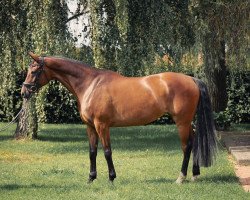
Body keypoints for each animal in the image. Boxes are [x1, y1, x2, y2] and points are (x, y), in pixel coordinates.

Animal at [21, 52, 217, 184]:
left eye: (34, 71)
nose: (24, 92)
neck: (91, 85)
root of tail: (192, 79)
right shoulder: (90, 127)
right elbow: (92, 152)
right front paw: (91, 178)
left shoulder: (102, 125)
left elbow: (107, 151)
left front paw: (111, 178)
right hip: (187, 122)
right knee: (194, 143)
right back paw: (195, 174)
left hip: (181, 122)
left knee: (186, 146)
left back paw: (181, 178)